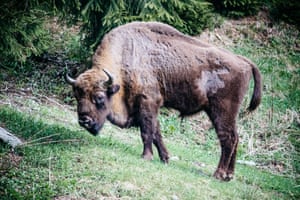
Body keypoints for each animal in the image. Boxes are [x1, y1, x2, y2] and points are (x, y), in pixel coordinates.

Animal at [65, 21, 260, 180]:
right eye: (77, 95)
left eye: (99, 97)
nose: (84, 120)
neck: (126, 57)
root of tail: (243, 61)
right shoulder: (149, 107)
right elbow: (156, 133)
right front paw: (165, 158)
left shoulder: (148, 102)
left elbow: (147, 132)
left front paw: (146, 157)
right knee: (236, 138)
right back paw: (229, 175)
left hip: (221, 111)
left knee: (228, 139)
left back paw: (219, 174)